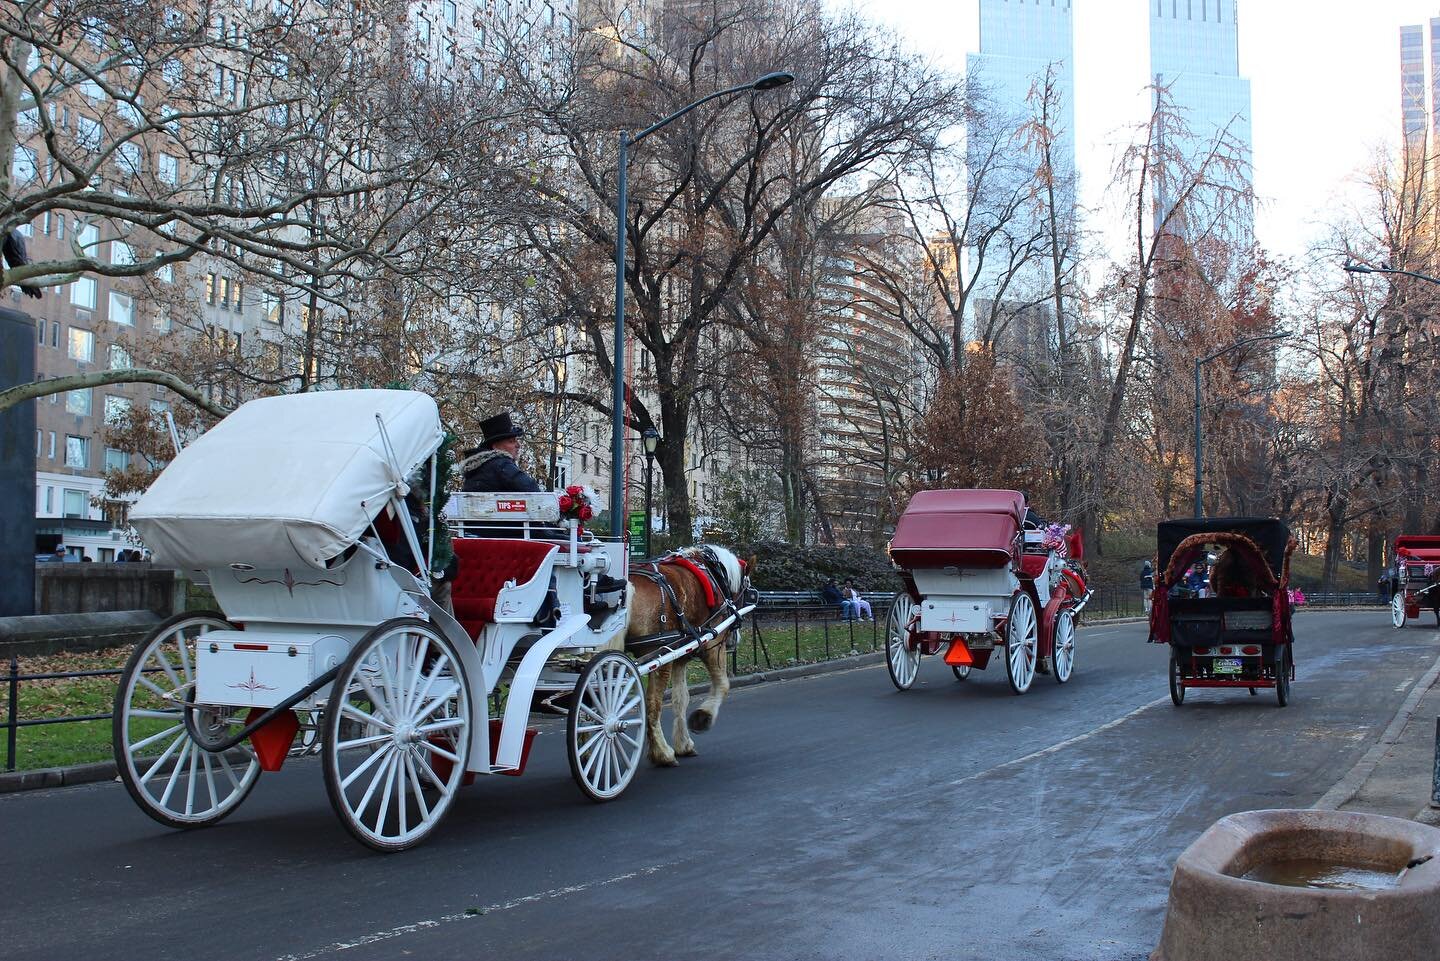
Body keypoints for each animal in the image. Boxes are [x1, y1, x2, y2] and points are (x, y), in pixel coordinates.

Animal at [624, 547, 748, 766]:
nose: (735, 640)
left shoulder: (680, 656)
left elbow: (680, 698)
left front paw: (683, 744)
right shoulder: (713, 643)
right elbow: (723, 684)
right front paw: (703, 717)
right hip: (658, 655)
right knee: (652, 704)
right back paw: (662, 753)